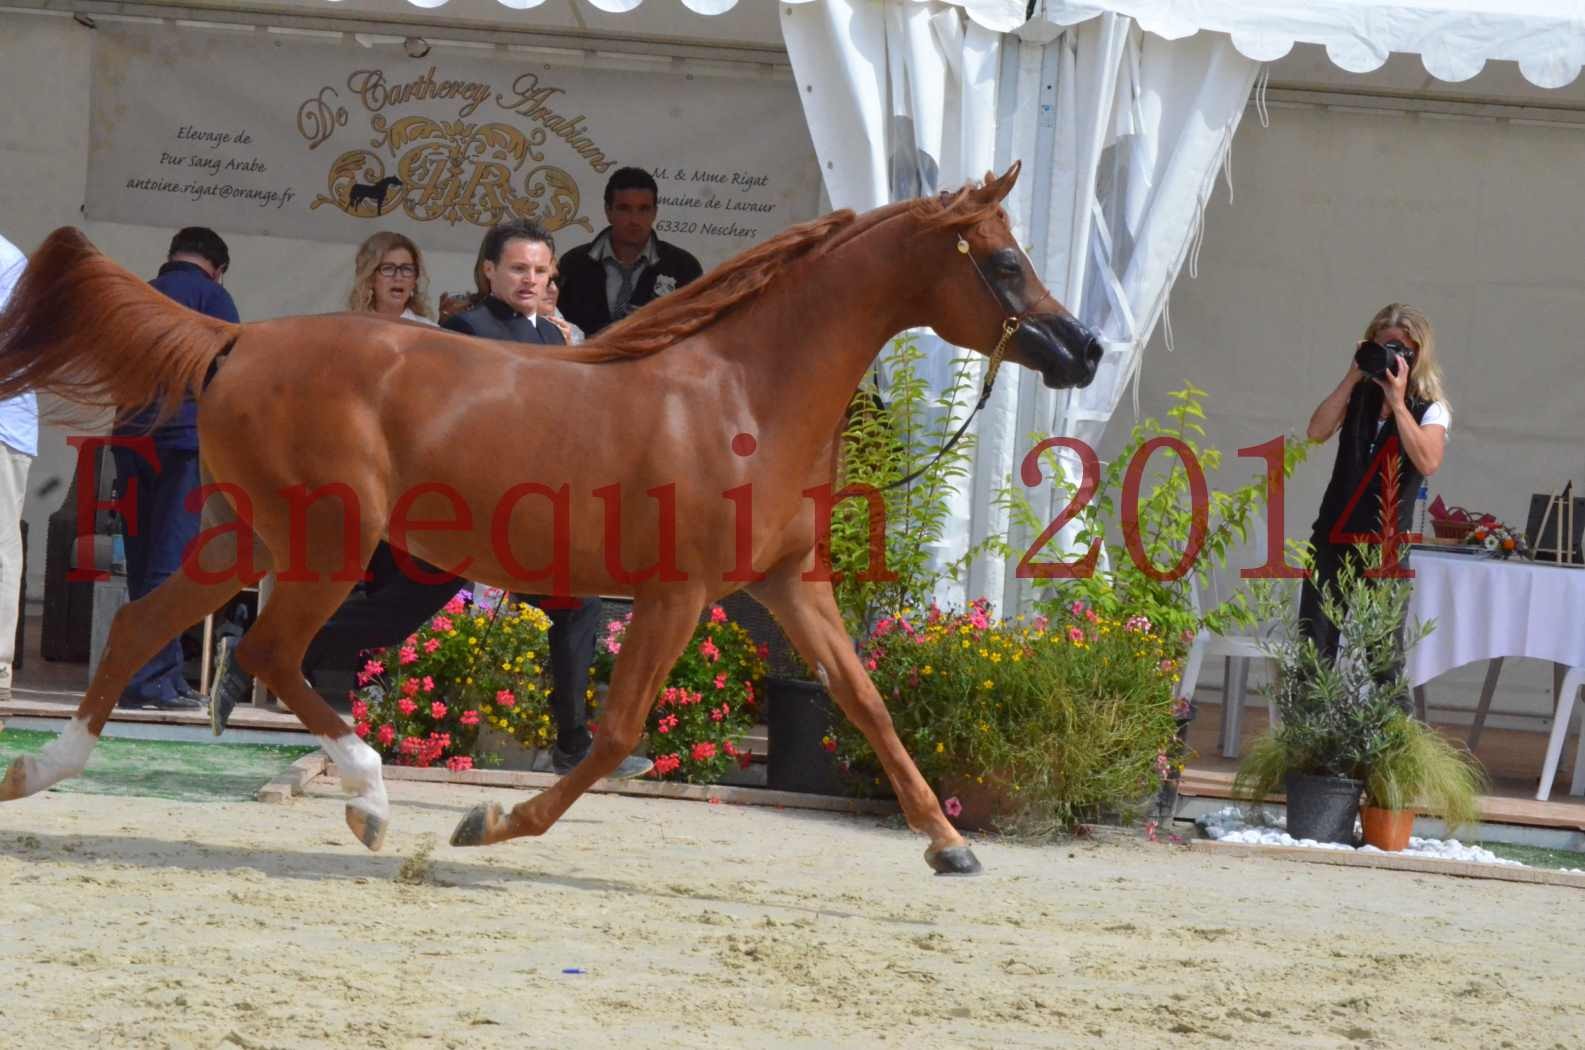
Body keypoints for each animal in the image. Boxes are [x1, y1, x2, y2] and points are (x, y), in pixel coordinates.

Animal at [0, 162, 1096, 869]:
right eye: (1002, 263)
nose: (1082, 351)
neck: (745, 393)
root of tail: (238, 339)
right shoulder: (677, 593)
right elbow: (612, 737)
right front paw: (485, 826)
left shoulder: (789, 585)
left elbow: (862, 700)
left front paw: (949, 846)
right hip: (326, 542)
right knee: (270, 650)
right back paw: (368, 799)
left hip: (252, 534)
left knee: (148, 625)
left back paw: (39, 772)